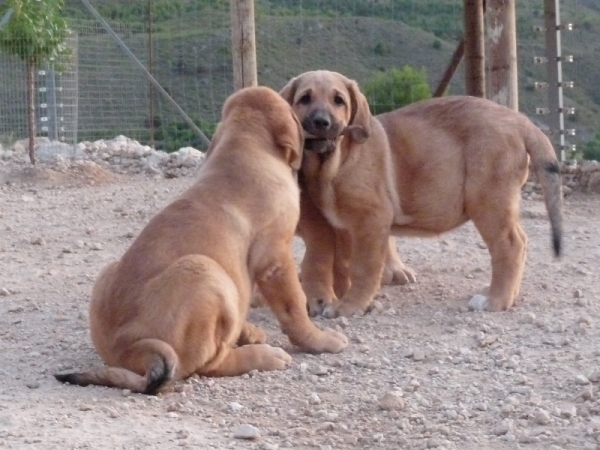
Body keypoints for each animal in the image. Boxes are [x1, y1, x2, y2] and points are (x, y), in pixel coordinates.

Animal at [56, 85, 350, 394]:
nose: (320, 123)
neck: (243, 148)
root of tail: (127, 350)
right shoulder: (276, 258)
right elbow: (295, 306)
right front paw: (319, 340)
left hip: (109, 270)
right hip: (204, 271)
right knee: (208, 363)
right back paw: (263, 356)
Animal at [282, 69, 564, 316]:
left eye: (339, 100)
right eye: (304, 98)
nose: (321, 123)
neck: (338, 161)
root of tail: (520, 121)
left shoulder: (371, 220)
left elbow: (362, 268)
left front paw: (349, 306)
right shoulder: (342, 227)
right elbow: (342, 266)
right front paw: (341, 298)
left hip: (488, 201)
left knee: (511, 245)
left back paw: (496, 300)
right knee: (520, 243)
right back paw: (507, 295)